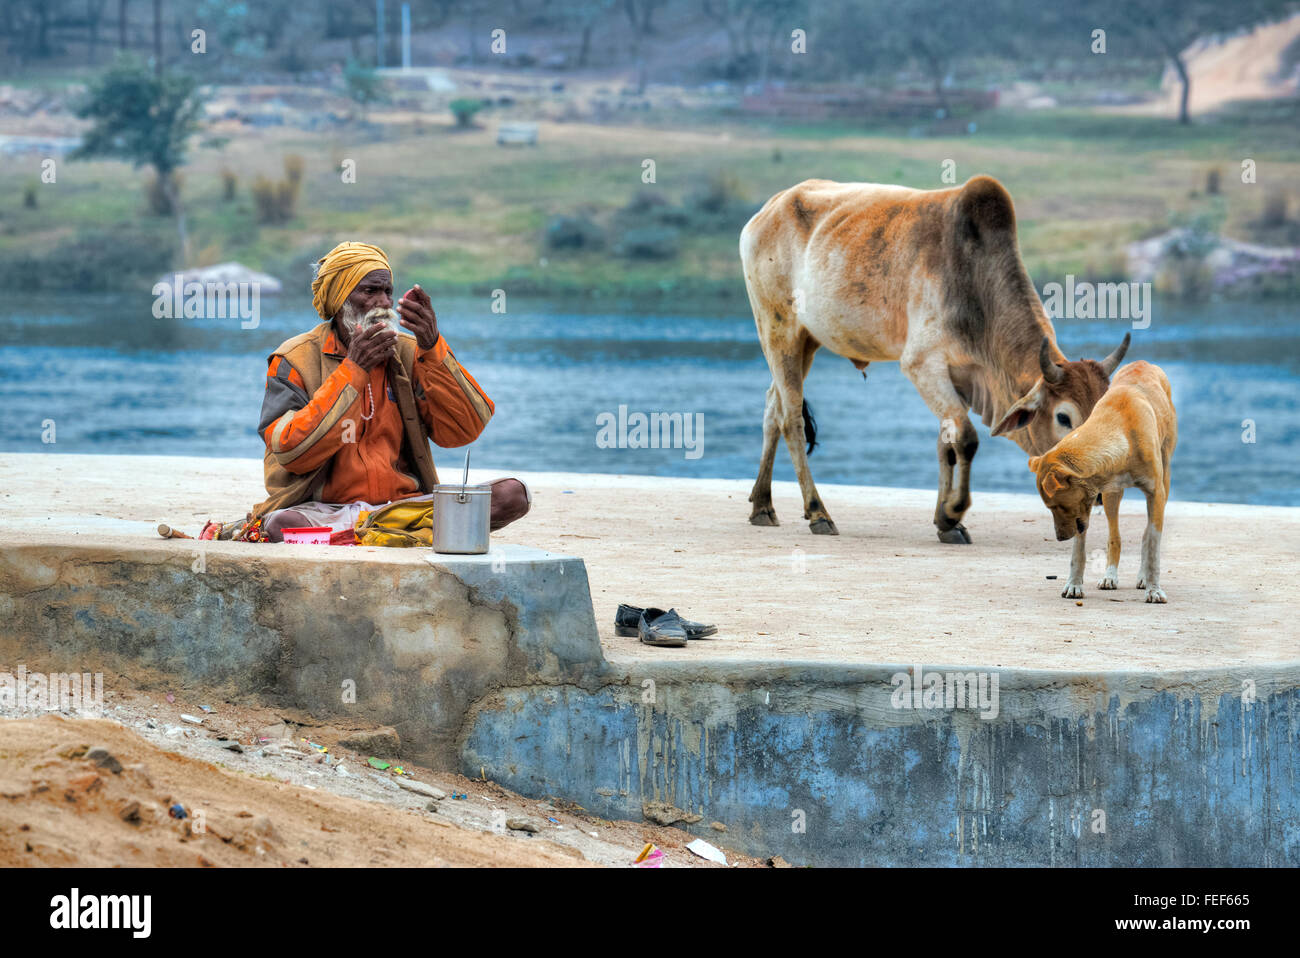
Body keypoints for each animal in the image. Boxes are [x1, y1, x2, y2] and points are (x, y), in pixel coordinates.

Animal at [743, 175, 1128, 540]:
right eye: (1063, 417)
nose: (1097, 492)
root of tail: (766, 211)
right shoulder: (922, 365)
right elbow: (967, 440)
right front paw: (953, 512)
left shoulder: (957, 379)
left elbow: (948, 444)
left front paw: (945, 522)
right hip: (778, 329)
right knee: (791, 417)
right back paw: (818, 512)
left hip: (805, 341)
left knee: (772, 407)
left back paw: (762, 505)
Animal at [1024, 361, 1180, 600]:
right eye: (1050, 508)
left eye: (1056, 506)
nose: (1060, 538)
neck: (1121, 431)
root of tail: (1143, 363)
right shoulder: (1087, 503)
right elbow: (1080, 550)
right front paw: (1074, 584)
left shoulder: (1156, 493)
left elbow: (1153, 545)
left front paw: (1154, 589)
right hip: (1111, 497)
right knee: (1114, 536)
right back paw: (1110, 576)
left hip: (1165, 476)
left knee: (1147, 534)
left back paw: (1143, 577)